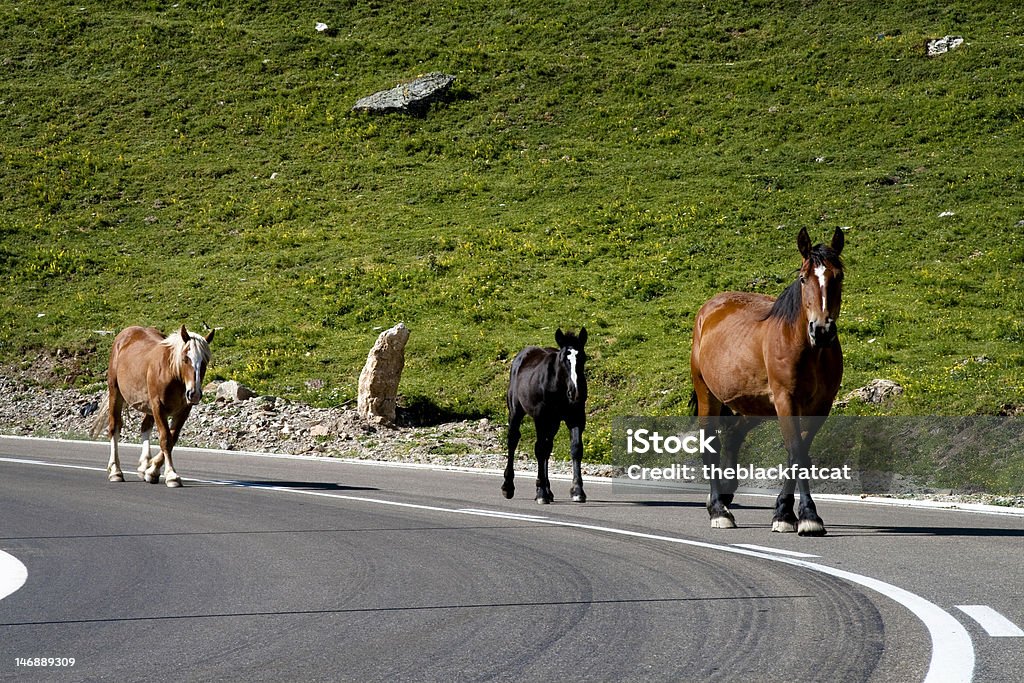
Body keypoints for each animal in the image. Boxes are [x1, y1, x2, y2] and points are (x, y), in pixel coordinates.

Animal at [96, 325, 216, 485]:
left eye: (204, 362)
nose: (194, 393)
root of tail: (125, 333)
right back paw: (116, 471)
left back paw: (143, 466)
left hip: (148, 406)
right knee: (114, 428)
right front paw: (171, 475)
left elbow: (172, 438)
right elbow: (166, 439)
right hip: (115, 393)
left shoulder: (184, 410)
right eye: (185, 358)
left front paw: (152, 469)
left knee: (145, 426)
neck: (172, 374)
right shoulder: (158, 407)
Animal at [505, 327, 589, 505]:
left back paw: (548, 490)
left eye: (583, 357)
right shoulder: (541, 417)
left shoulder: (576, 417)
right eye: (564, 359)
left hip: (553, 422)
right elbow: (540, 449)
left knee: (548, 446)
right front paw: (541, 492)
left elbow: (576, 448)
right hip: (516, 411)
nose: (575, 392)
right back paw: (508, 487)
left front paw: (577, 491)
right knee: (513, 440)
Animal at [688, 227, 847, 536]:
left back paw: (725, 494)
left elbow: (798, 454)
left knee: (734, 435)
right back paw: (719, 510)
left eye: (838, 277)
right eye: (803, 278)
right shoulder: (786, 400)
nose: (821, 329)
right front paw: (807, 516)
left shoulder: (821, 406)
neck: (810, 350)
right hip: (707, 395)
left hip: (756, 406)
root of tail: (708, 309)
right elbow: (797, 452)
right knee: (711, 446)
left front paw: (785, 513)